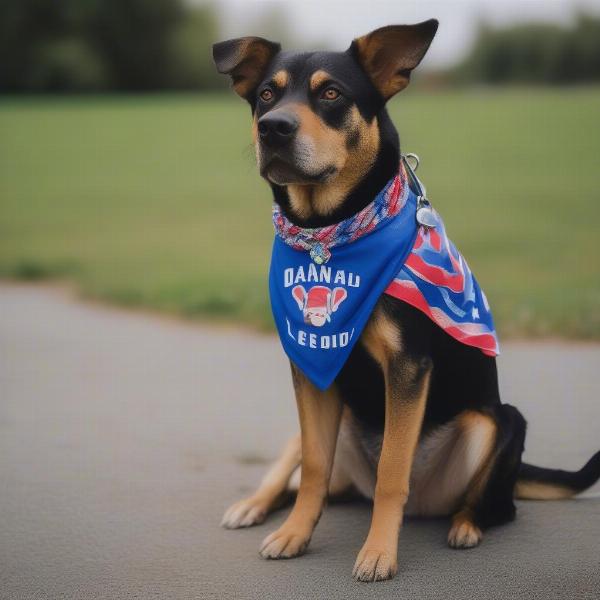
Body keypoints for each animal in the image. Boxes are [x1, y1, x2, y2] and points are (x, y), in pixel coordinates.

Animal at [211, 19, 600, 580]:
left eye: (332, 94)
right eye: (266, 94)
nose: (273, 128)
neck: (328, 234)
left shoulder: (408, 366)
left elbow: (393, 471)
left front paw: (378, 552)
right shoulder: (309, 368)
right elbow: (312, 469)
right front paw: (294, 535)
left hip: (498, 420)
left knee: (493, 505)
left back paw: (466, 525)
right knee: (299, 474)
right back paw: (255, 505)